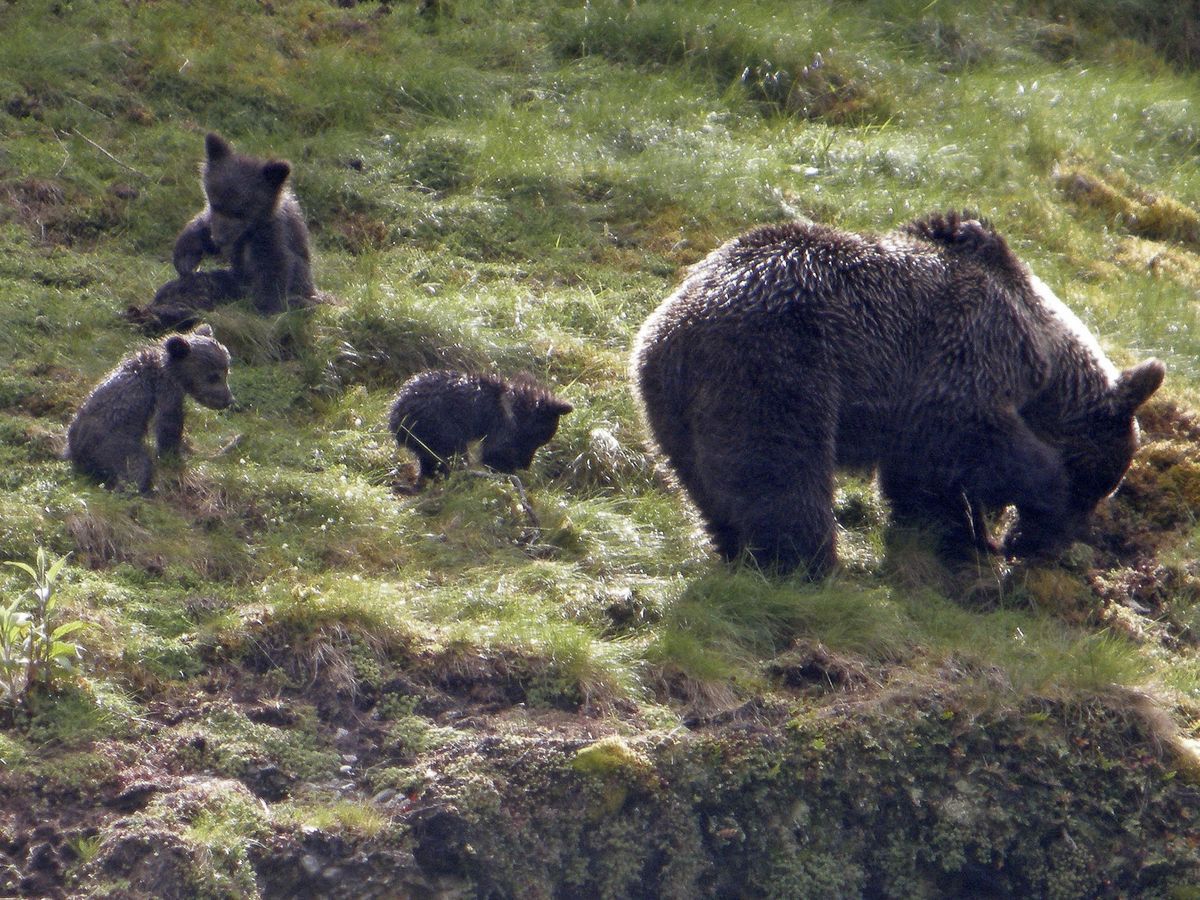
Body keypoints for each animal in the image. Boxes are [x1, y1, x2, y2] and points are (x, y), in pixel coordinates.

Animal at [67, 324, 235, 494]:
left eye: (227, 371)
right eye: (213, 376)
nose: (228, 400)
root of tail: (77, 453)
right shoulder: (166, 391)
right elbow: (168, 425)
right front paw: (175, 458)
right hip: (114, 445)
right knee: (137, 465)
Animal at [164, 132, 315, 316]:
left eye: (241, 211)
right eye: (215, 204)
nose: (220, 239)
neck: (248, 232)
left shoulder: (271, 237)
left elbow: (275, 268)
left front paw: (269, 307)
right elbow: (200, 229)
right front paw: (185, 259)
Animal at [388, 370, 573, 482]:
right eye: (535, 437)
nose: (525, 465)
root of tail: (397, 414)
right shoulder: (500, 428)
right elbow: (495, 453)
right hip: (440, 429)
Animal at [631, 211, 1165, 575]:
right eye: (1095, 483)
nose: (1037, 544)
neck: (1044, 350)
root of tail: (679, 323)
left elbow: (924, 476)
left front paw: (949, 533)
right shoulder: (967, 350)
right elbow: (969, 434)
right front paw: (1021, 502)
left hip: (668, 403)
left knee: (707, 482)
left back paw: (733, 544)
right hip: (777, 367)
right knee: (781, 470)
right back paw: (806, 563)